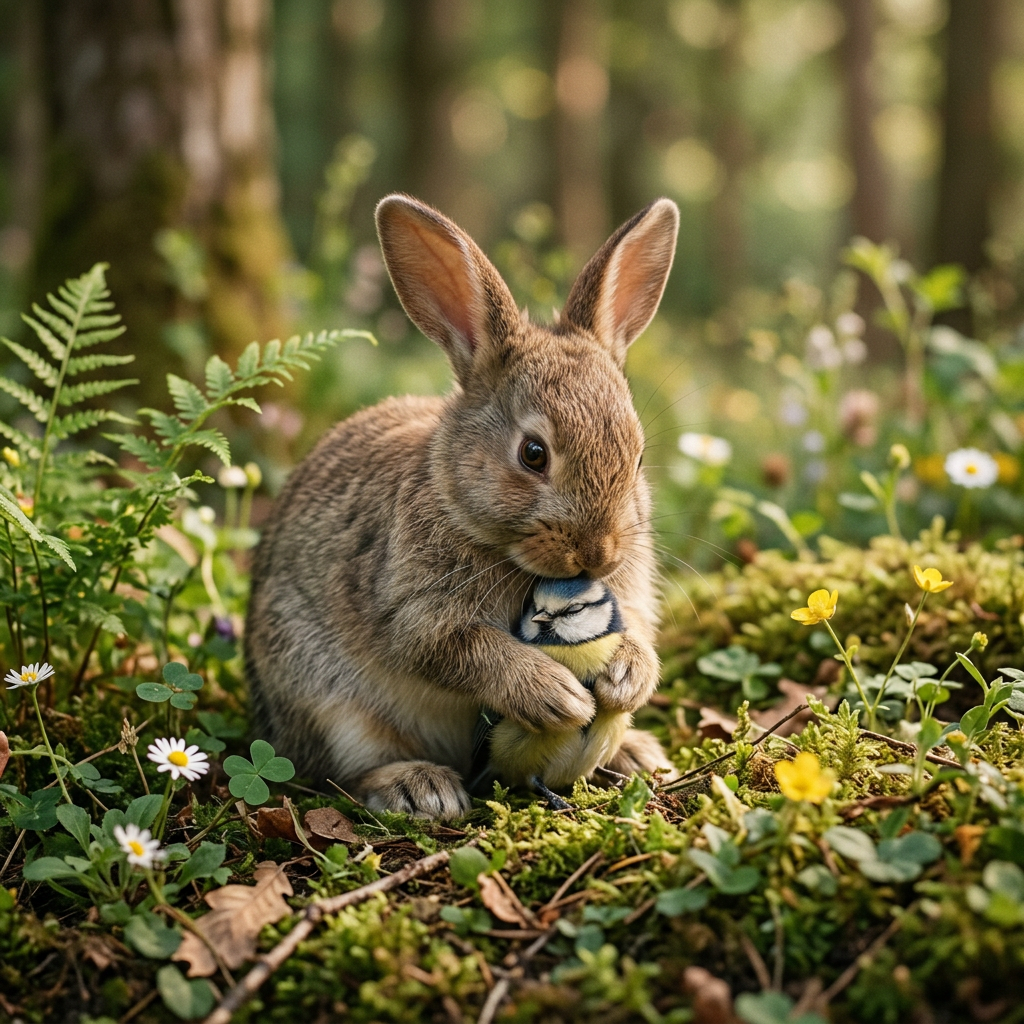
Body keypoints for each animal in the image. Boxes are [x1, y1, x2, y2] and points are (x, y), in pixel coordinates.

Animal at [245, 193, 680, 818]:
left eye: (639, 456)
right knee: (341, 770)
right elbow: (456, 650)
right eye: (532, 454)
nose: (598, 553)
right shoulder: (410, 608)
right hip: (325, 698)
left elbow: (639, 632)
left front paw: (629, 678)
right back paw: (418, 786)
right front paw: (556, 696)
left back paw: (638, 753)